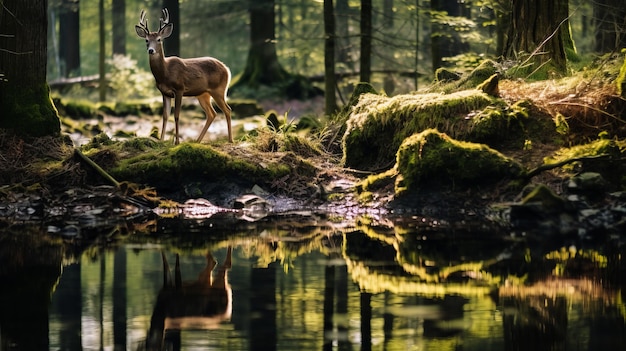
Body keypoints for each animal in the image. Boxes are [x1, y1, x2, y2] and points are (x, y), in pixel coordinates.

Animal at [134, 9, 232, 144]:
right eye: (146, 40)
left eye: (159, 39)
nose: (151, 50)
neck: (165, 73)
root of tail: (226, 68)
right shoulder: (164, 93)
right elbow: (165, 116)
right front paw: (161, 140)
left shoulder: (179, 89)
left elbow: (176, 115)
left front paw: (176, 142)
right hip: (203, 94)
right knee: (212, 113)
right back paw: (197, 141)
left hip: (218, 90)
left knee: (227, 109)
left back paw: (230, 140)